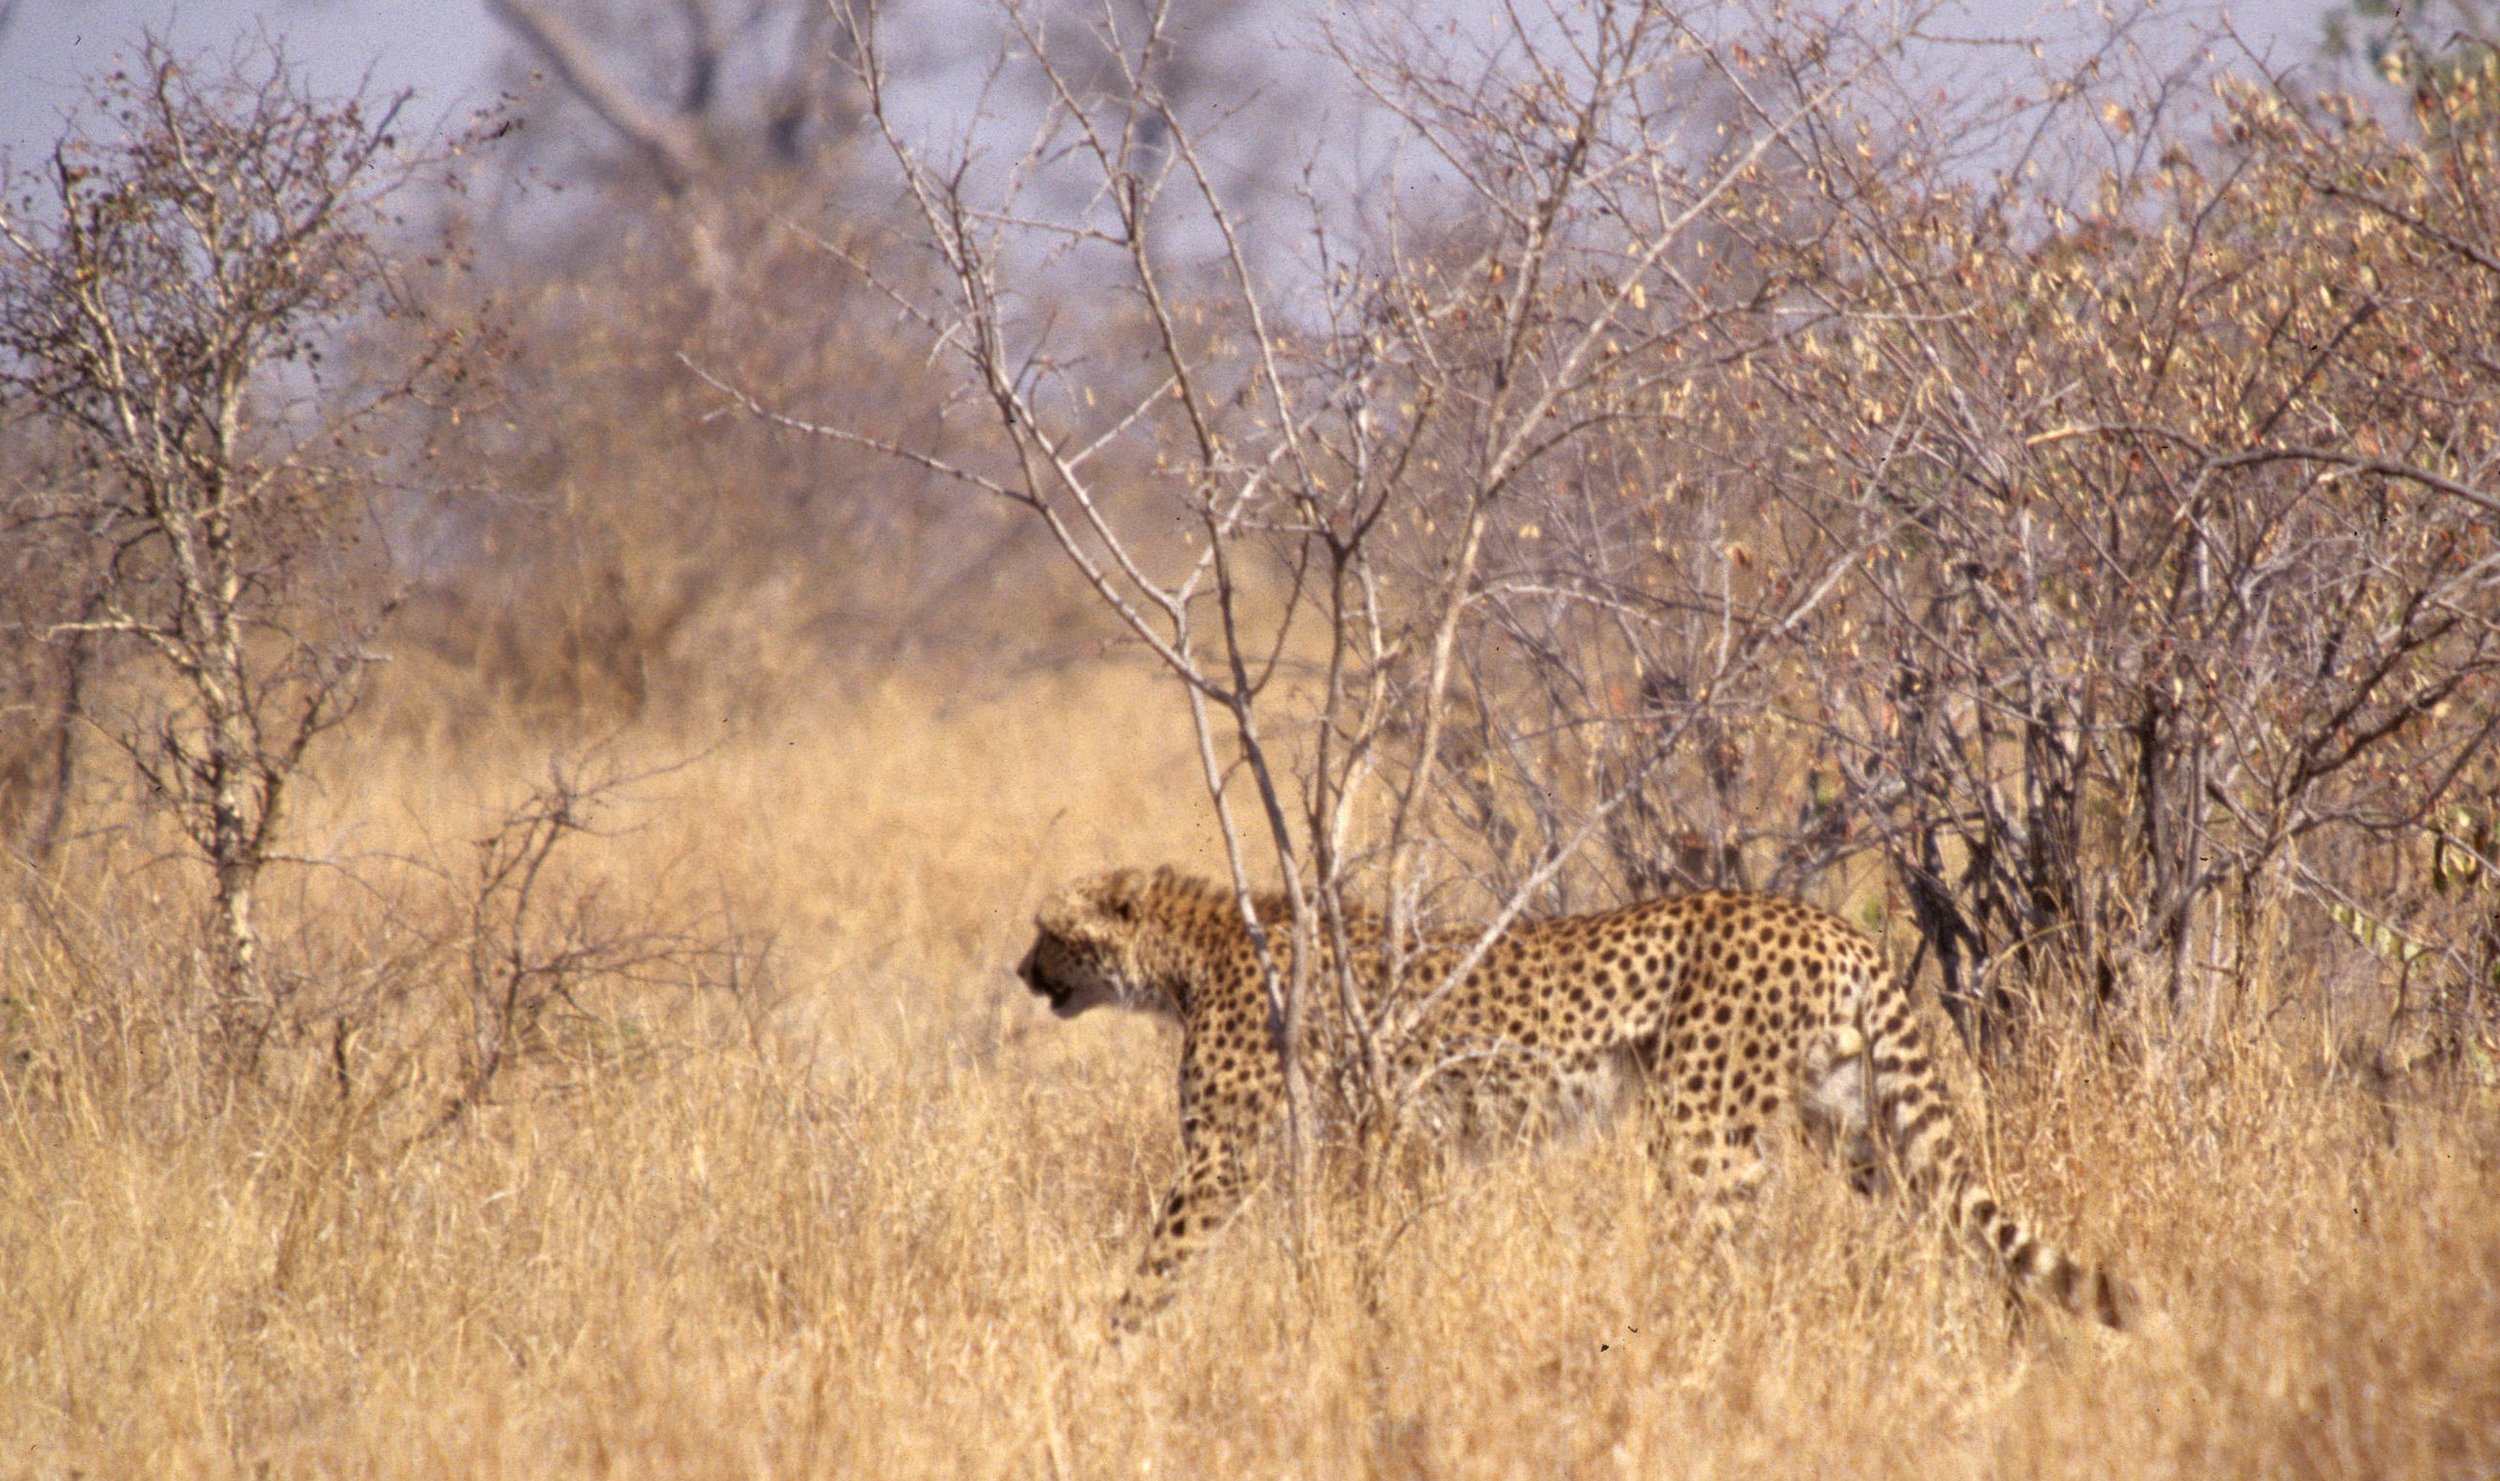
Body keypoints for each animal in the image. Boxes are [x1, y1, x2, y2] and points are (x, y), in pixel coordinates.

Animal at [1017, 865, 2127, 1332]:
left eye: (1047, 928)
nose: (1021, 971)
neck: (1189, 950)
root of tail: (1823, 918)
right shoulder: (1356, 1146)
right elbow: (1344, 1248)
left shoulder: (1224, 1155)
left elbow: (1159, 1259)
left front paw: (1107, 1345)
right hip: (1851, 1122)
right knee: (1951, 1217)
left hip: (1702, 1128)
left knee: (1725, 1258)